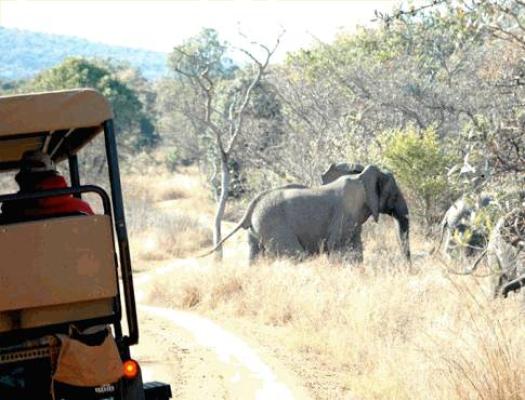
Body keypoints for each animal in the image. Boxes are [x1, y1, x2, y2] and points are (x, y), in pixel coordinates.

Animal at [203, 164, 412, 264]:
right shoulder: (345, 215)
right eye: (394, 196)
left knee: (255, 257)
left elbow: (356, 249)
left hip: (256, 231)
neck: (361, 177)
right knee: (295, 256)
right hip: (274, 226)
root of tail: (251, 208)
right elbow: (339, 248)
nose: (408, 268)